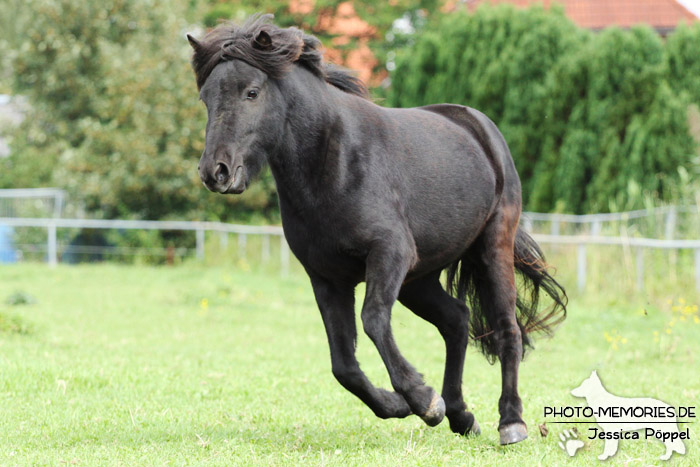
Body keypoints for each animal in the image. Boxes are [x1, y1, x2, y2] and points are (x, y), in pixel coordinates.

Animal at [187, 15, 568, 446]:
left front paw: (422, 399)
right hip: (418, 280)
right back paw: (460, 415)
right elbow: (343, 364)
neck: (333, 161)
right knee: (456, 320)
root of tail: (482, 131)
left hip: (491, 250)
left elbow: (372, 319)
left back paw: (511, 422)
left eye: (251, 92)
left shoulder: (389, 253)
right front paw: (401, 404)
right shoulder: (326, 278)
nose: (215, 171)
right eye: (206, 99)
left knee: (507, 330)